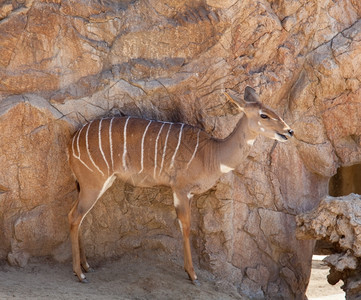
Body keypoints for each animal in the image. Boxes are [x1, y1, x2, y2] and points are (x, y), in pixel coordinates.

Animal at [67, 86, 292, 284]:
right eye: (264, 115)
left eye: (274, 111)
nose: (289, 131)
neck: (211, 154)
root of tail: (73, 141)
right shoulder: (180, 189)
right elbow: (186, 226)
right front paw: (192, 275)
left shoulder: (189, 194)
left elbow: (185, 225)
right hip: (92, 183)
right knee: (74, 216)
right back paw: (80, 274)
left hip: (98, 183)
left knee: (79, 216)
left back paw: (87, 266)